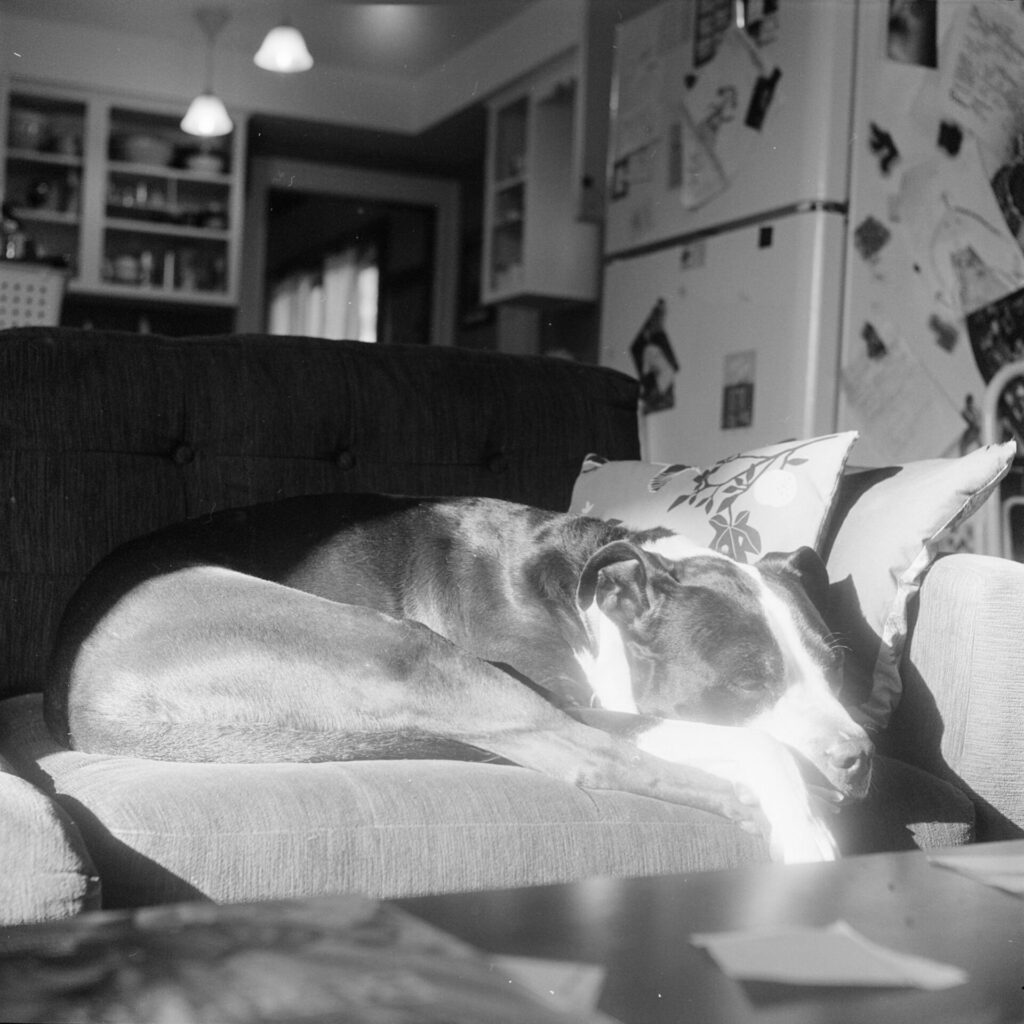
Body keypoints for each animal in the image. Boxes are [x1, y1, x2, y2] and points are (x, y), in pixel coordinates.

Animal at [46, 491, 872, 860]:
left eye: (836, 667)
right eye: (748, 681)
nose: (858, 757)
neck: (591, 593)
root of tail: (76, 692)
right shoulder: (560, 690)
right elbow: (756, 742)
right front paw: (802, 825)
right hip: (407, 648)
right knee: (595, 762)